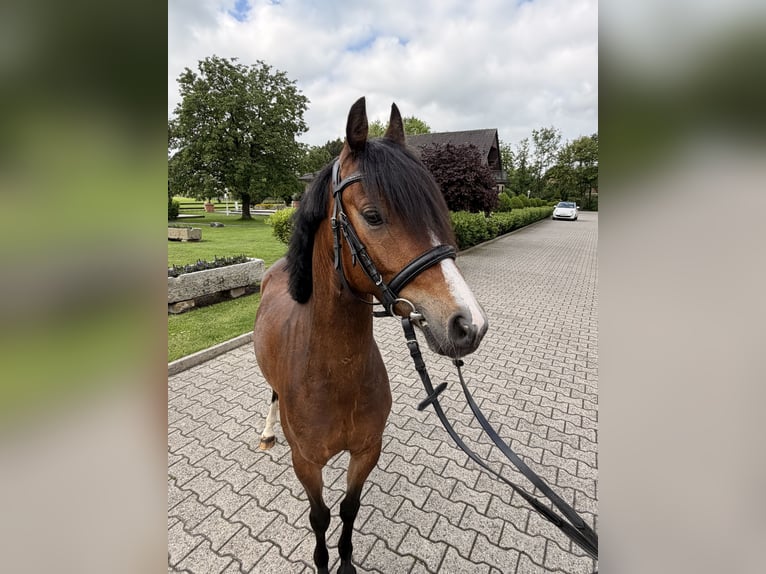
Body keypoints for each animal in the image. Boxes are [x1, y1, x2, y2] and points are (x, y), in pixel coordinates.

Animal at [253, 97, 488, 574]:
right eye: (373, 216)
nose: (468, 324)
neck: (334, 372)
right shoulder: (306, 463)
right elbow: (320, 516)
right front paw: (323, 562)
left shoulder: (366, 452)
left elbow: (348, 509)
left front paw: (345, 562)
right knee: (270, 393)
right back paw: (267, 432)